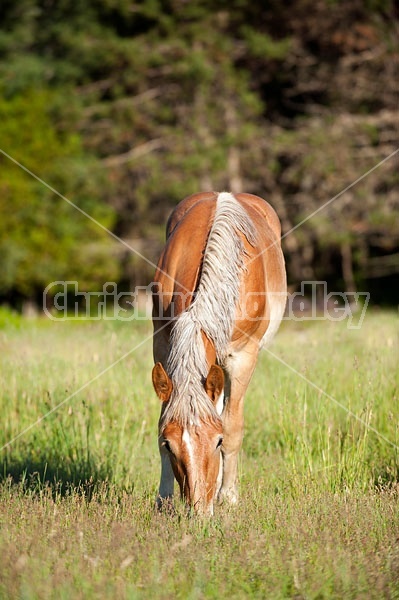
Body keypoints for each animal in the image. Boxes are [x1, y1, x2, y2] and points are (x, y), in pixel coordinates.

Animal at [152, 192, 286, 516]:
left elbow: (233, 426)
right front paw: (163, 500)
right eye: (169, 445)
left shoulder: (242, 358)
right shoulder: (162, 343)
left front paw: (228, 497)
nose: (199, 512)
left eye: (217, 441)